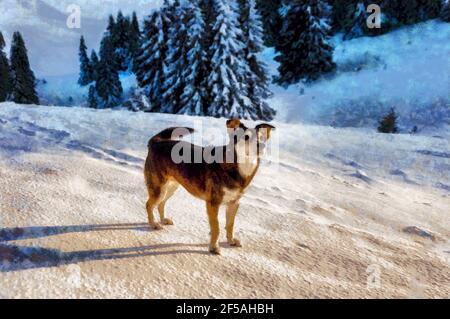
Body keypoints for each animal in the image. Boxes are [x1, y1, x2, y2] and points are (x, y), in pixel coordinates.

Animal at [144, 119, 274, 256]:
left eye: (261, 137)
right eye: (246, 137)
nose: (262, 145)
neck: (239, 167)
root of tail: (156, 142)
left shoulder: (234, 203)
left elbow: (230, 225)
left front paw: (231, 241)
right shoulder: (213, 203)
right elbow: (216, 227)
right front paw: (214, 247)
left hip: (171, 187)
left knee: (161, 204)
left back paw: (163, 220)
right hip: (159, 189)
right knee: (149, 205)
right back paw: (153, 224)